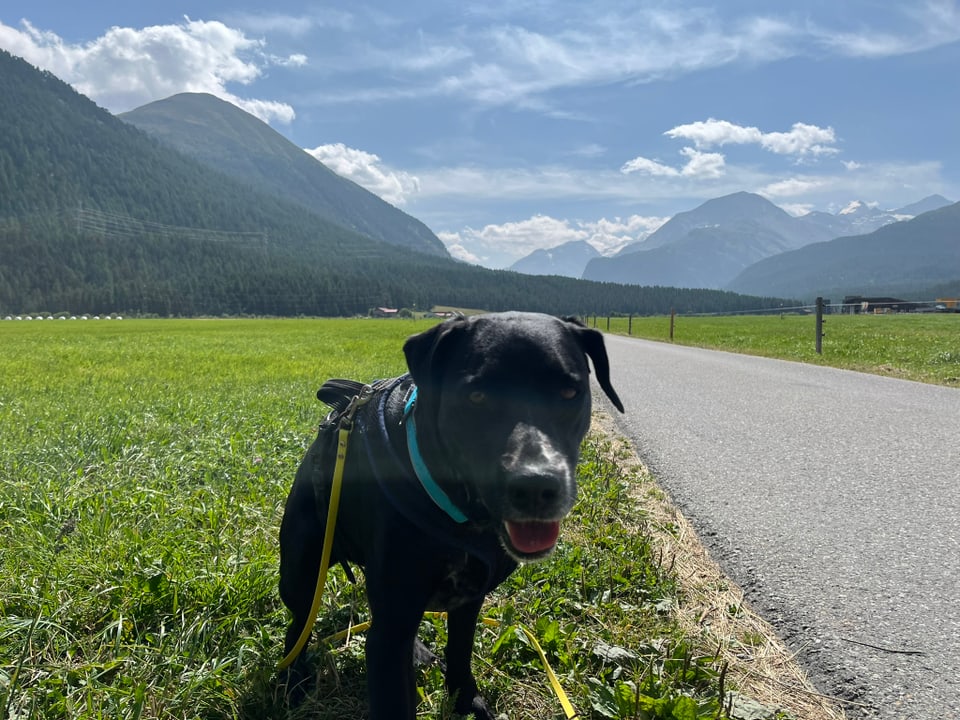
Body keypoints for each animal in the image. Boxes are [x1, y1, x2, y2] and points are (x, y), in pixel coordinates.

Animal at [280, 312, 624, 716]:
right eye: (476, 396)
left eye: (569, 393)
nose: (536, 486)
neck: (460, 512)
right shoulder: (388, 636)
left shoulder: (468, 600)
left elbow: (460, 650)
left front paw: (465, 698)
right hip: (302, 571)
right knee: (298, 625)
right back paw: (292, 681)